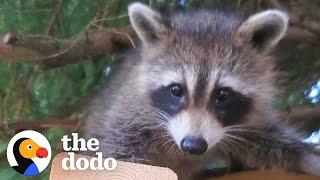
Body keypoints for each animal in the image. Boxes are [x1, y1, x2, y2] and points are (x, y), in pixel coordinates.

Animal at [84, 2, 318, 179]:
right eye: (176, 90)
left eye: (223, 95)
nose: (193, 145)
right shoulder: (131, 114)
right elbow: (119, 151)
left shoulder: (247, 118)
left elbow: (268, 139)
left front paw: (306, 156)